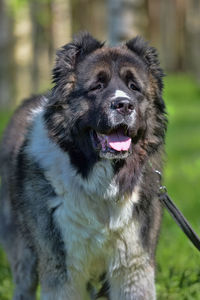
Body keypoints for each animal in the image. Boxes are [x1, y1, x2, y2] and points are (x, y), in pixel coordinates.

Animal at [0, 32, 167, 300]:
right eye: (97, 86)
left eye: (134, 87)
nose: (124, 105)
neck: (100, 179)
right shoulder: (62, 269)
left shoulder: (133, 264)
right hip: (22, 252)